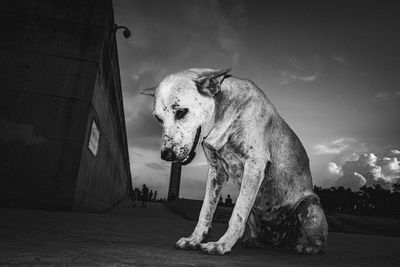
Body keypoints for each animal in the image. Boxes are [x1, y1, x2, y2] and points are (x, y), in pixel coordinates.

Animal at [141, 68, 328, 255]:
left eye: (181, 112)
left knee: (318, 241)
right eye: (158, 119)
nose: (166, 155)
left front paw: (221, 245)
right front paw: (194, 239)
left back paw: (306, 246)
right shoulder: (216, 171)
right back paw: (251, 241)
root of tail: (276, 242)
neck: (221, 118)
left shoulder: (254, 164)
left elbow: (237, 214)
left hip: (309, 206)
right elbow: (205, 212)